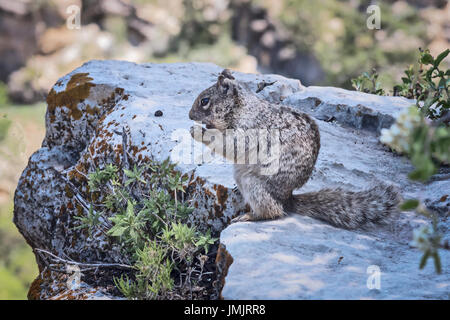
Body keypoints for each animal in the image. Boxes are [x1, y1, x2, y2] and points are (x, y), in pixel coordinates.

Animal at [188, 69, 400, 229]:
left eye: (205, 101)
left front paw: (198, 131)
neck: (241, 108)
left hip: (254, 182)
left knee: (274, 210)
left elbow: (232, 144)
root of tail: (287, 198)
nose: (190, 116)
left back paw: (249, 216)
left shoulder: (248, 129)